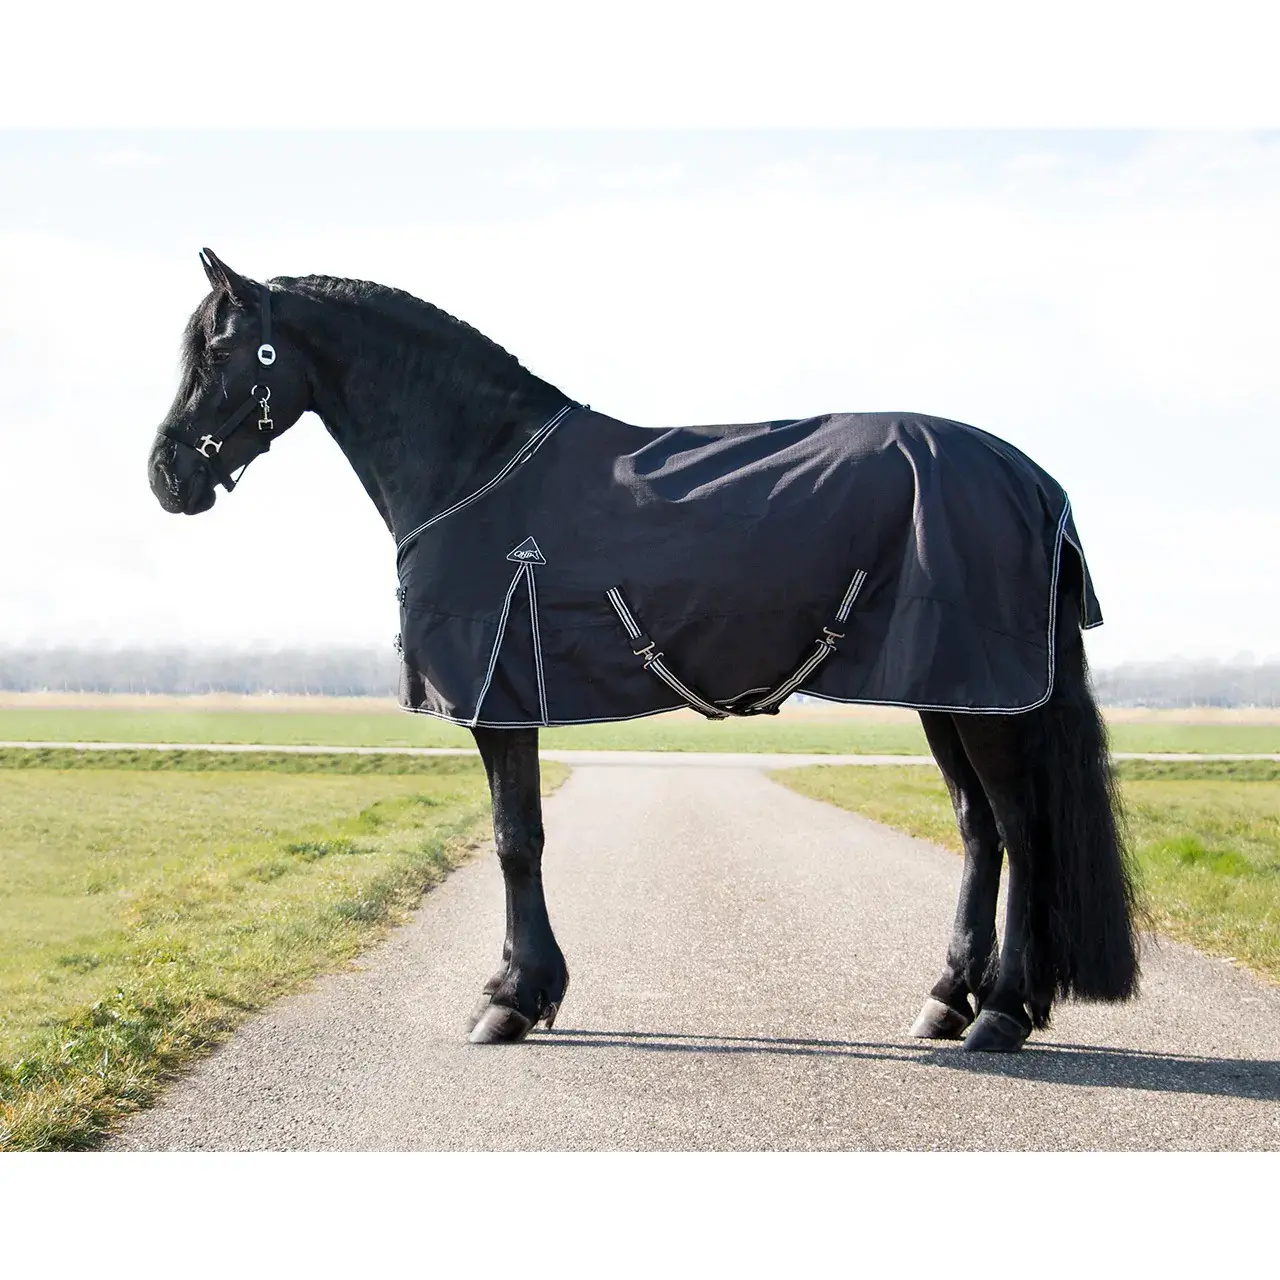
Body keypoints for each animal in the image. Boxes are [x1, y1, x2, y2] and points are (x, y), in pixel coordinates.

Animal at [146, 249, 1140, 1052]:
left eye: (223, 353)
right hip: (954, 692)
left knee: (1022, 829)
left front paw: (513, 1000)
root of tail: (1034, 480)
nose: (167, 475)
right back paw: (947, 1000)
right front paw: (520, 988)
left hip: (985, 697)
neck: (481, 463)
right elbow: (518, 836)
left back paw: (1002, 1013)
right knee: (980, 831)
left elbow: (516, 839)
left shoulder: (498, 698)